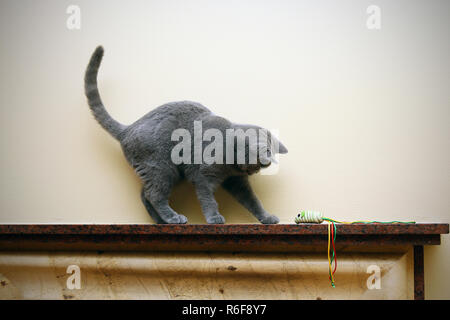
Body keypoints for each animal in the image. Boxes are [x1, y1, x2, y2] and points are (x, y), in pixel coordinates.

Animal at [84, 46, 288, 224]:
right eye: (257, 163)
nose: (254, 171)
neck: (230, 162)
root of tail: (128, 128)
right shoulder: (203, 176)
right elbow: (207, 198)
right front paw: (214, 218)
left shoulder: (237, 181)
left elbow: (253, 200)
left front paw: (267, 217)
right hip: (162, 168)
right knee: (154, 194)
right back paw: (173, 218)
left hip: (165, 172)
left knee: (145, 194)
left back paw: (161, 221)